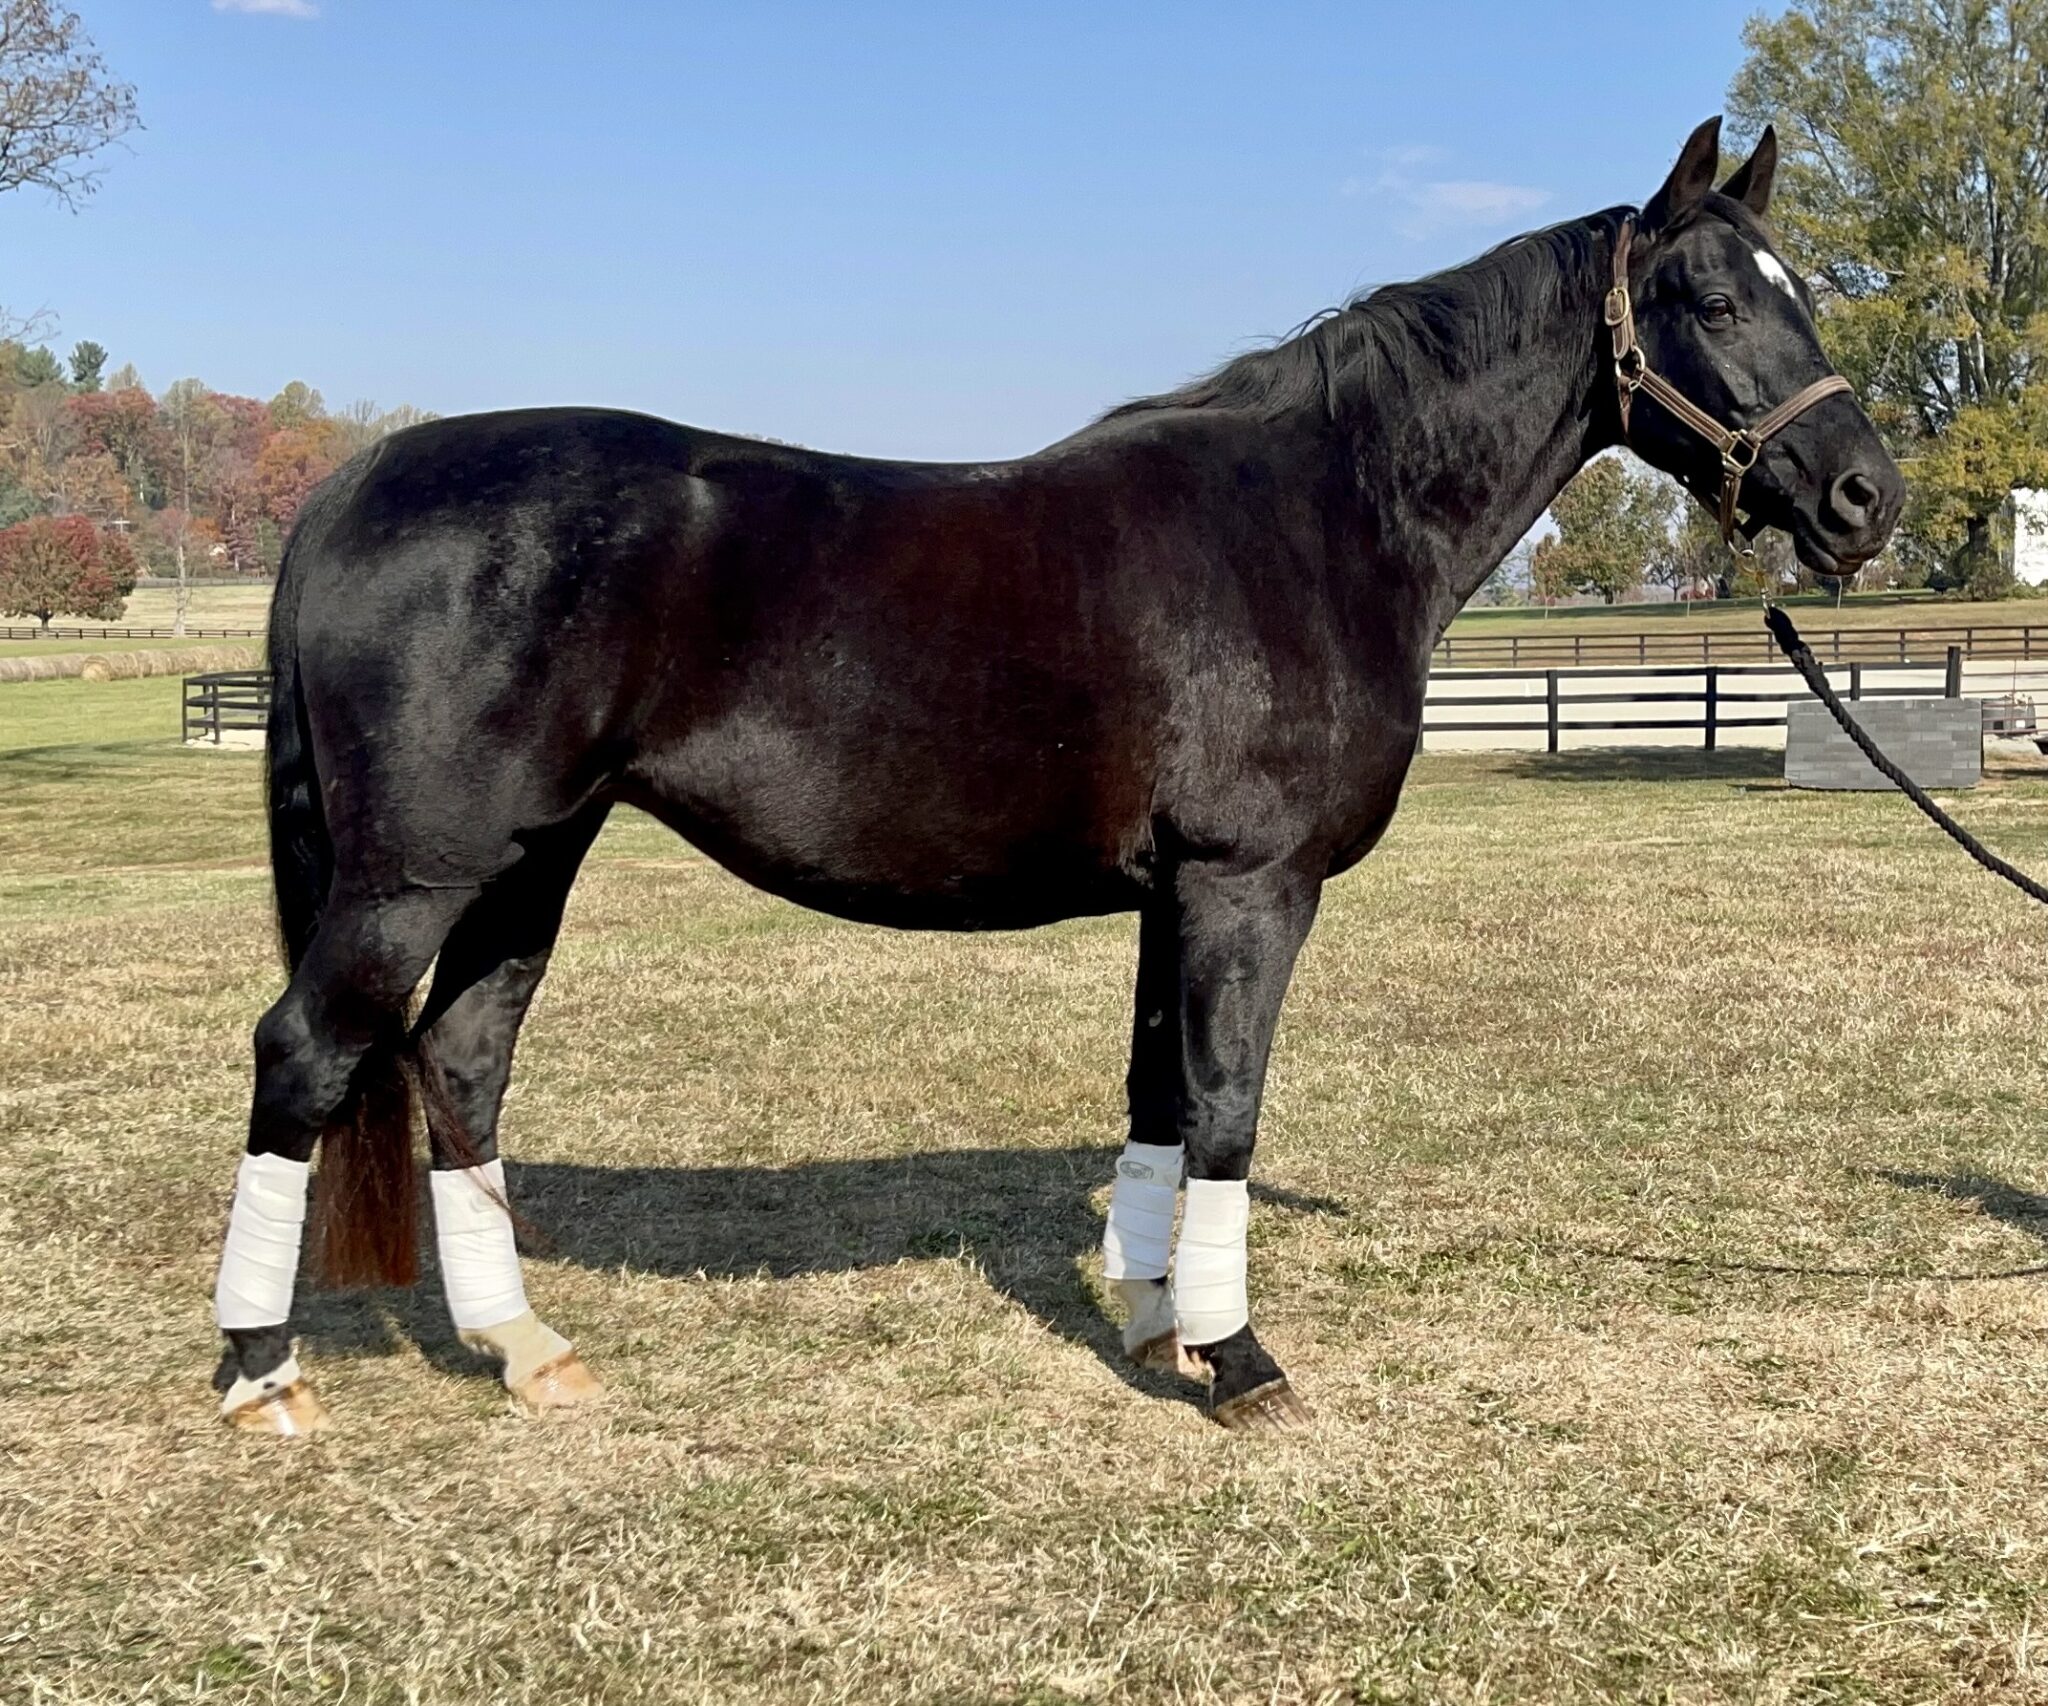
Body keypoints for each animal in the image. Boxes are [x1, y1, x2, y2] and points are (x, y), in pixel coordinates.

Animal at [211, 117, 1902, 1436]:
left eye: (1799, 293)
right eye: (1706, 297)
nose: (1863, 498)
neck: (1320, 519)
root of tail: (360, 479)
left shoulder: (1175, 894)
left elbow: (1159, 1095)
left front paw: (1158, 1320)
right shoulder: (1249, 886)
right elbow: (1227, 1104)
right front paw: (1239, 1357)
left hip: (527, 862)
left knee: (459, 1061)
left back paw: (522, 1344)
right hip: (417, 875)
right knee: (307, 1053)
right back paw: (260, 1370)